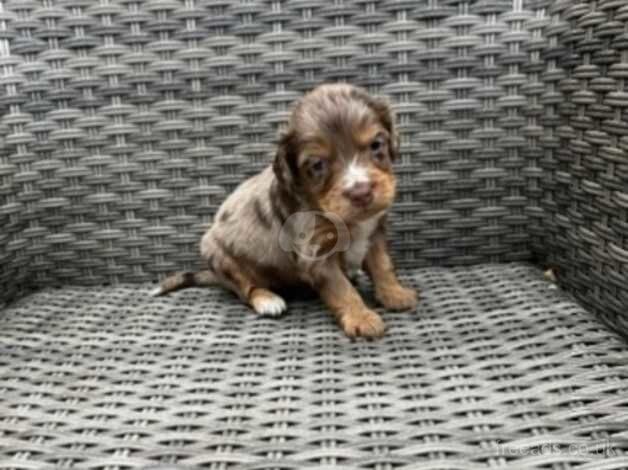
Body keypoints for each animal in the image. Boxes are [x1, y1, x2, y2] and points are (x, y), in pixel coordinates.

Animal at [151, 82, 418, 336]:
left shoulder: (374, 232)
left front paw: (395, 293)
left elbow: (382, 264)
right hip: (218, 255)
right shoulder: (315, 254)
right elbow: (341, 289)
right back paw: (267, 300)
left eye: (376, 145)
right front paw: (361, 318)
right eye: (317, 165)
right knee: (245, 288)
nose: (360, 192)